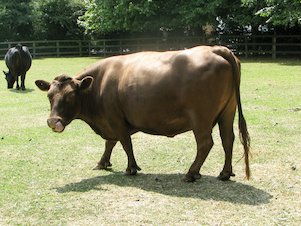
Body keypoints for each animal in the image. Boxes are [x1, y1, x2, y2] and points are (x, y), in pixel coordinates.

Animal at [36, 45, 250, 182]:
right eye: (49, 95)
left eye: (71, 96)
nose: (53, 121)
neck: (100, 83)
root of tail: (216, 49)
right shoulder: (109, 120)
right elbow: (110, 143)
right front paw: (102, 163)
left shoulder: (115, 119)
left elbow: (125, 143)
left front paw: (131, 168)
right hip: (227, 112)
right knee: (228, 139)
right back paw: (225, 173)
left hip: (201, 119)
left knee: (206, 143)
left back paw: (191, 173)